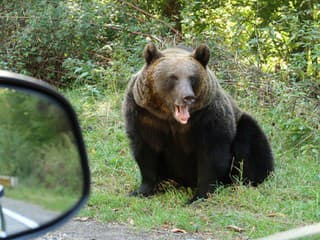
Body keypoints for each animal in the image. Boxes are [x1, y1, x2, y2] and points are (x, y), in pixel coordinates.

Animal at [124, 43, 274, 202]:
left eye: (192, 77)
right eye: (173, 77)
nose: (187, 97)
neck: (171, 118)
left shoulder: (207, 117)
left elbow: (211, 156)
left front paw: (199, 196)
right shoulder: (144, 116)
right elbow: (146, 153)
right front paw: (142, 190)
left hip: (240, 123)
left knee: (250, 143)